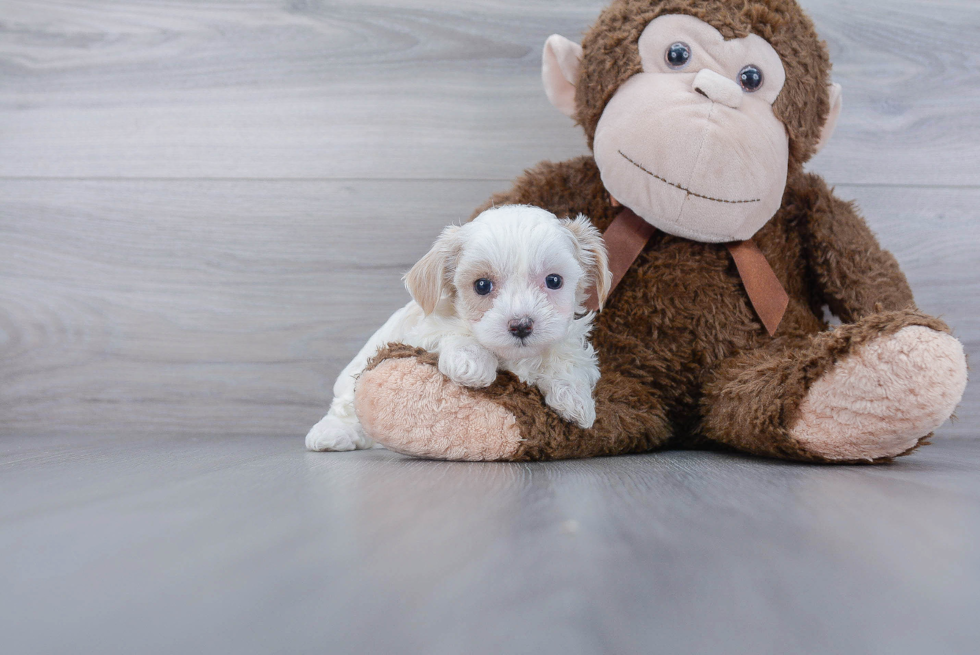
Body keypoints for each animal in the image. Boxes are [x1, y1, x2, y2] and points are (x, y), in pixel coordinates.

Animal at [306, 205, 612, 452]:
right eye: (482, 285)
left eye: (553, 280)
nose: (521, 325)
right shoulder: (424, 330)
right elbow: (455, 333)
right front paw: (472, 363)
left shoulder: (569, 340)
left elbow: (567, 358)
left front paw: (575, 399)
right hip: (352, 378)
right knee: (345, 408)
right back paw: (331, 435)